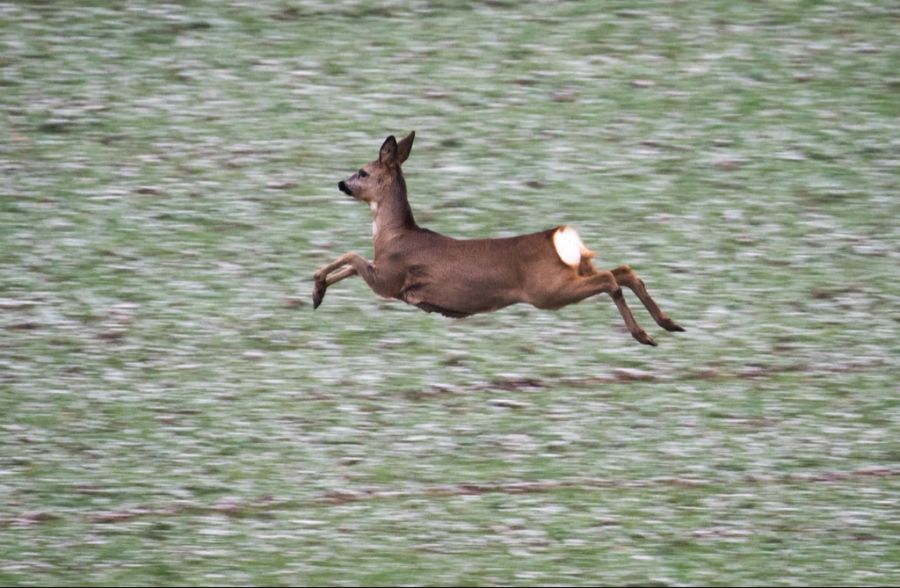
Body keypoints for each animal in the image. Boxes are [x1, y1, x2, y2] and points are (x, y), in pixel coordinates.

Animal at [310, 133, 684, 344]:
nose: (341, 184)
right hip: (575, 270)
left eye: (362, 172)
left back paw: (644, 335)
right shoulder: (383, 273)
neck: (394, 234)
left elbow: (352, 256)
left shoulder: (389, 279)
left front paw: (315, 287)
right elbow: (352, 264)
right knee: (624, 270)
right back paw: (668, 324)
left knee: (611, 279)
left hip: (548, 290)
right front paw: (318, 294)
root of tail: (559, 237)